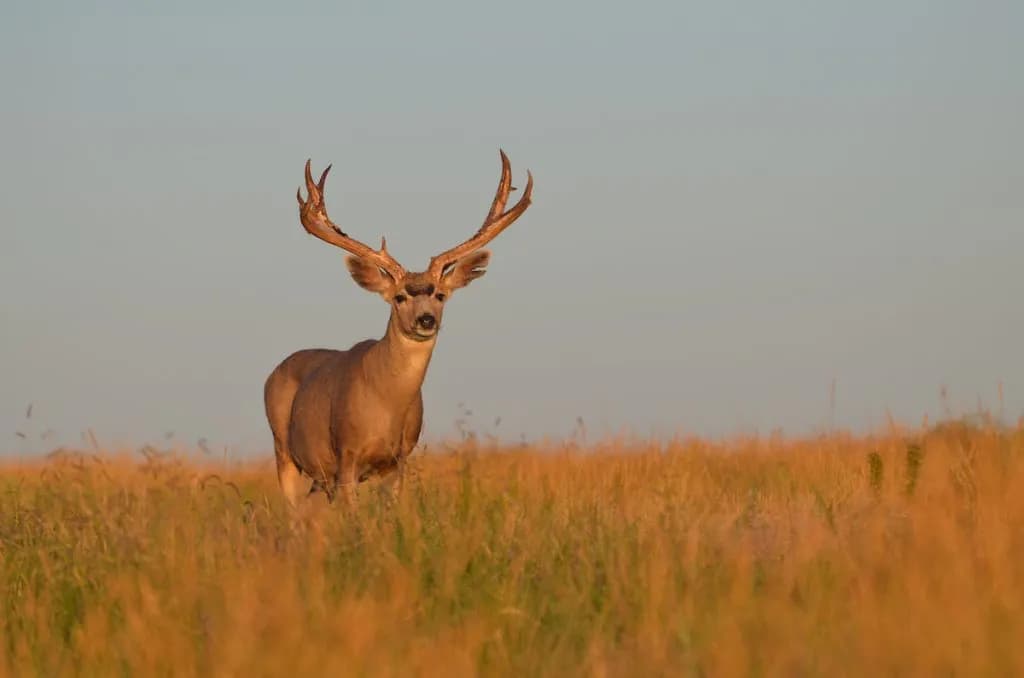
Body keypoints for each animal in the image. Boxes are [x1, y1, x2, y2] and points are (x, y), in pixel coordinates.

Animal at [264, 150, 533, 507]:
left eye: (440, 294)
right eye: (399, 296)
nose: (426, 320)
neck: (385, 403)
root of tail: (273, 373)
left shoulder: (398, 460)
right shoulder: (346, 455)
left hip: (320, 478)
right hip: (284, 450)